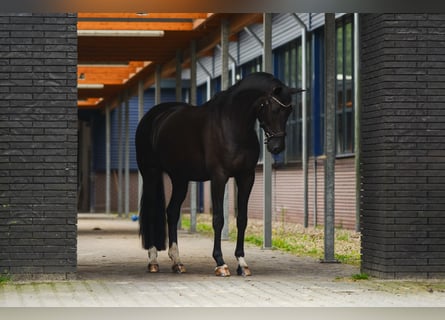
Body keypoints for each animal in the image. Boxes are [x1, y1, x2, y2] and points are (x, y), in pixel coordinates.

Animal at [134, 72, 302, 276]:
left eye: (290, 111)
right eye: (275, 109)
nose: (276, 147)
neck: (233, 124)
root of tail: (153, 116)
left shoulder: (246, 177)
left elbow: (242, 219)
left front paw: (242, 263)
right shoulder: (219, 177)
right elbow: (218, 219)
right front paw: (220, 262)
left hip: (180, 179)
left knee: (172, 212)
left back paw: (177, 262)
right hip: (151, 174)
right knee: (152, 212)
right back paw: (153, 260)